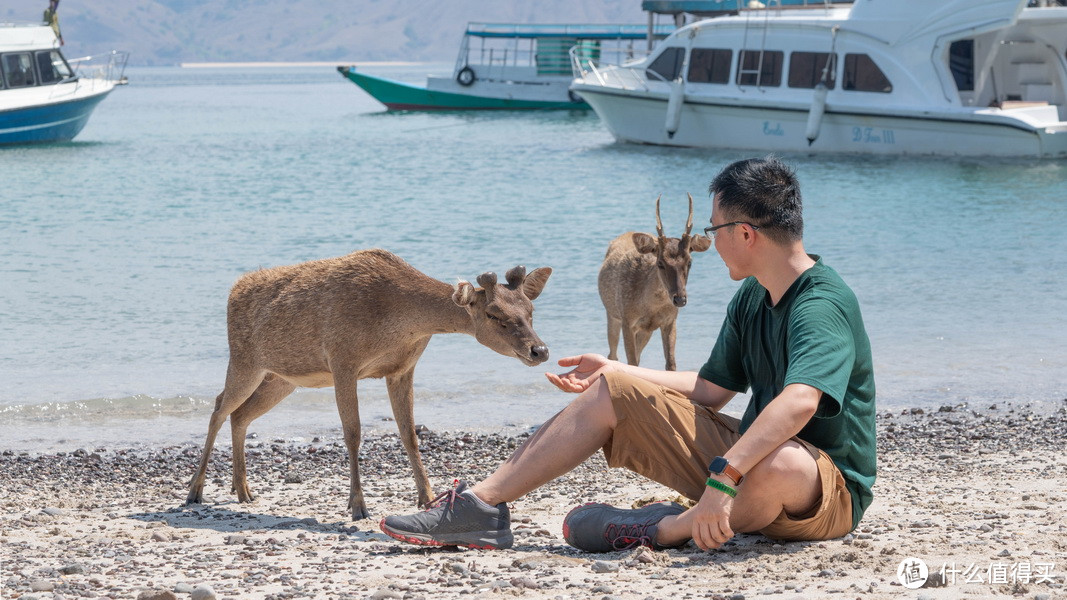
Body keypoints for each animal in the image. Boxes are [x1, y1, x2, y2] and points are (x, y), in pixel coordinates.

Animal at [185, 247, 550, 518]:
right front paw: (358, 506)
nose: (540, 350)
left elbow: (409, 434)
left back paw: (242, 490)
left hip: (280, 379)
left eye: (531, 310)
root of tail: (233, 290)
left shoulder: (403, 368)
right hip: (244, 360)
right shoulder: (343, 360)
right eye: (493, 313)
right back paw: (195, 490)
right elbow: (353, 433)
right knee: (218, 407)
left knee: (239, 414)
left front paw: (426, 496)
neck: (401, 321)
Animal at [601, 194, 708, 369]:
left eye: (689, 262)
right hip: (612, 313)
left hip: (646, 331)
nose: (680, 299)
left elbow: (670, 364)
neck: (650, 308)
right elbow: (631, 363)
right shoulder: (627, 321)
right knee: (613, 355)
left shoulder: (670, 321)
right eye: (660, 263)